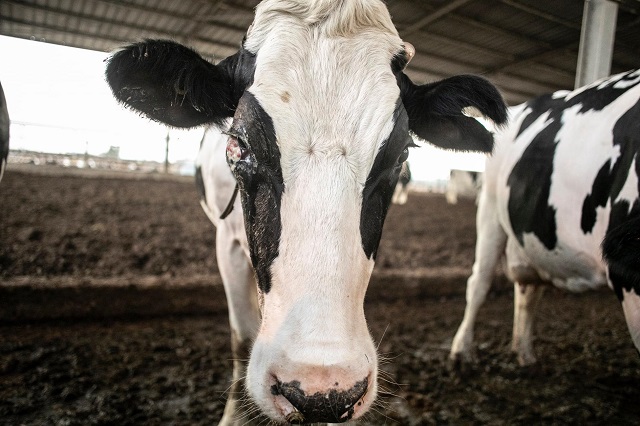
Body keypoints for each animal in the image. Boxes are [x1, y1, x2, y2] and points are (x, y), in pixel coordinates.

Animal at [104, 0, 504, 422]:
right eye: (238, 144)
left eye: (402, 155)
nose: (320, 391)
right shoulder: (225, 243)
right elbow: (240, 337)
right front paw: (234, 414)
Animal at [450, 69, 640, 366]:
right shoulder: (627, 275)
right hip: (490, 210)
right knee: (479, 283)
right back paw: (461, 351)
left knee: (527, 289)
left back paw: (524, 353)